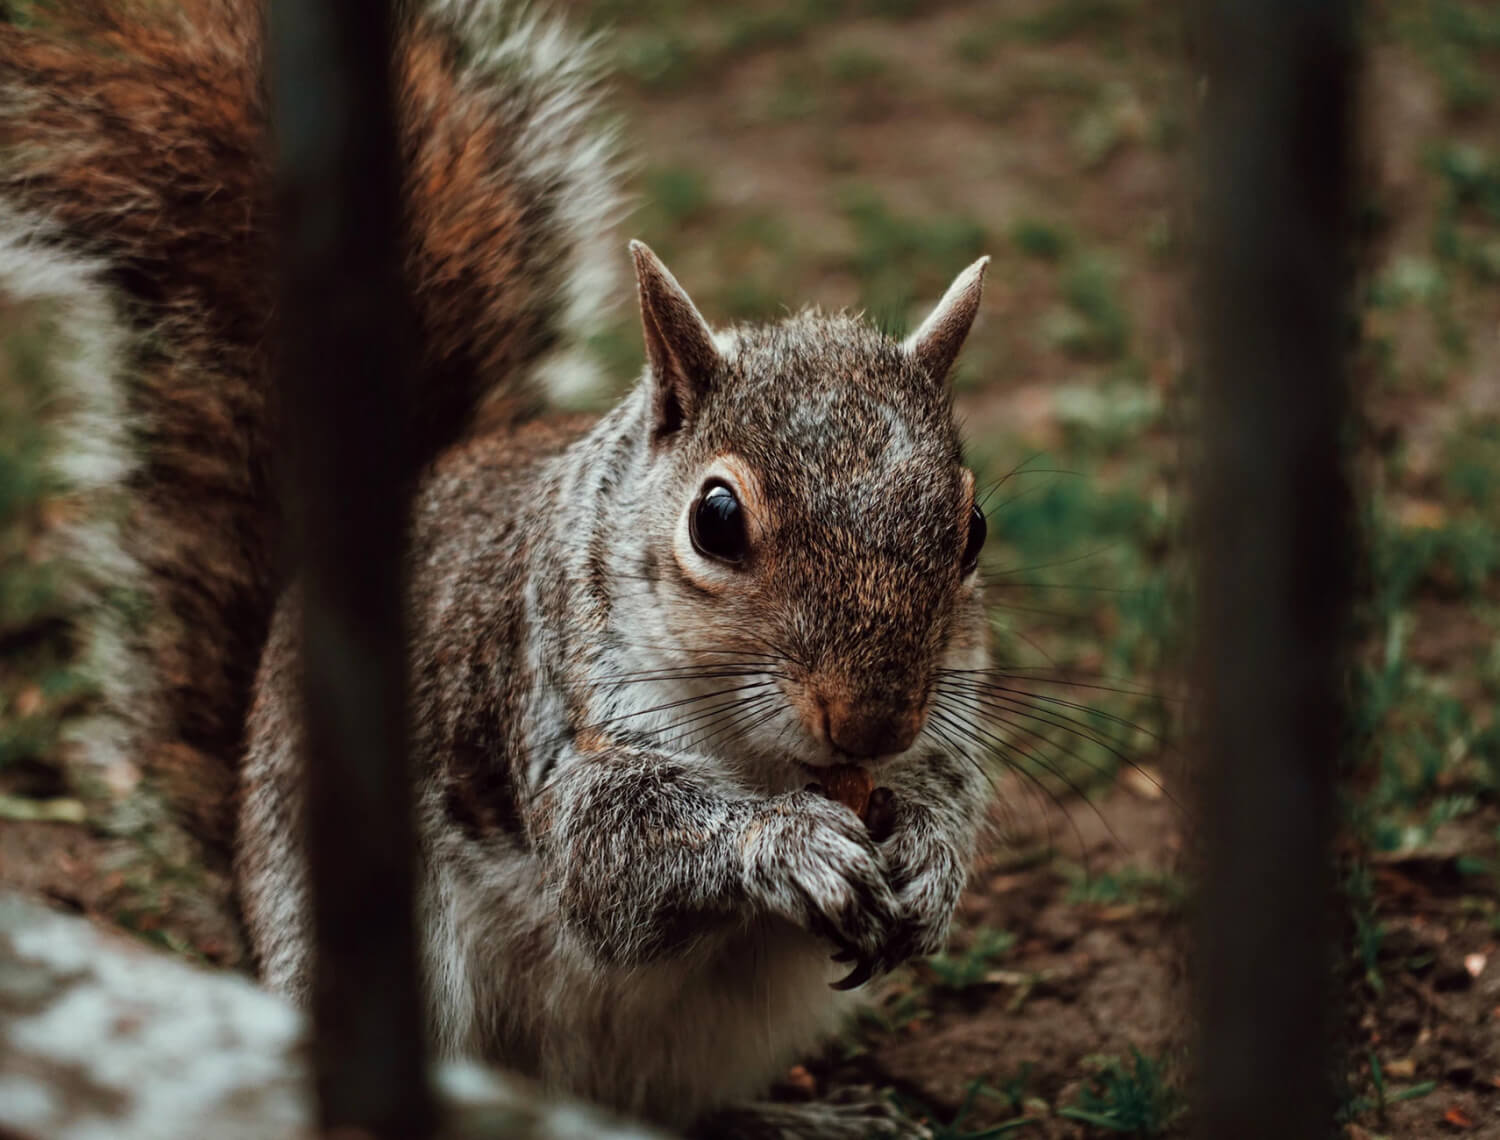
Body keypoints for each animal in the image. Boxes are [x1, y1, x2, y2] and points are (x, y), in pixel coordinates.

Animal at [0, 1, 994, 1137]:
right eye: (716, 520)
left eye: (974, 528)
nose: (872, 721)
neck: (767, 754)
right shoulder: (551, 698)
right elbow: (607, 864)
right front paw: (786, 844)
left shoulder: (948, 722)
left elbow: (948, 791)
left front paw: (929, 866)